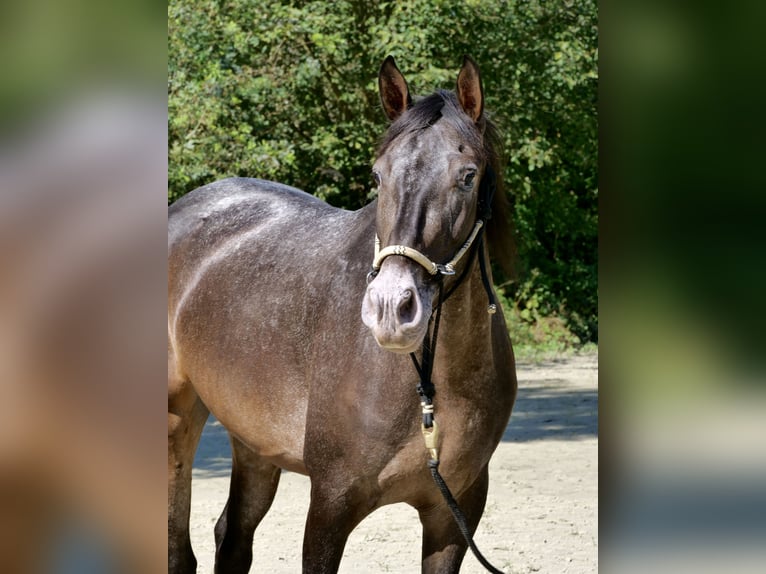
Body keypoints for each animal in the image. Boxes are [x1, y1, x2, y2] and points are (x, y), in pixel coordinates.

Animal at [166, 55, 516, 574]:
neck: (429, 386)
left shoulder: (454, 515)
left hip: (253, 443)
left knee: (233, 539)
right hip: (177, 420)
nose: (392, 308)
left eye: (468, 176)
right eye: (377, 176)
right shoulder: (330, 505)